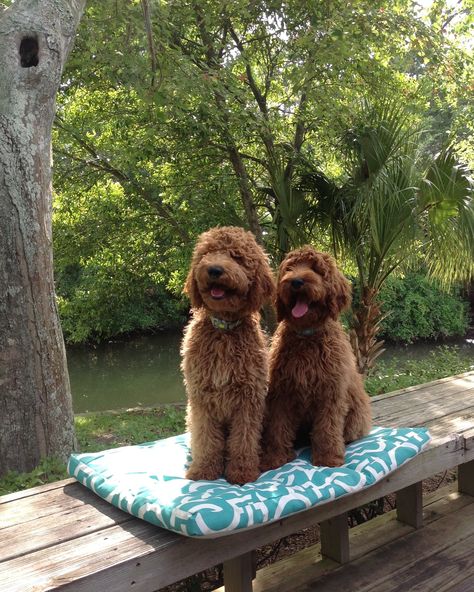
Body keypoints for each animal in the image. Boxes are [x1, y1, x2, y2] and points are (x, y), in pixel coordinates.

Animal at [183, 224, 276, 484]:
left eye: (237, 257)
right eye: (207, 253)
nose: (214, 269)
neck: (224, 330)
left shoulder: (248, 398)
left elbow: (243, 440)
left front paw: (242, 471)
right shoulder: (202, 397)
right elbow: (206, 439)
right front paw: (204, 470)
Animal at [262, 246, 372, 472]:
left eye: (316, 269)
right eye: (289, 268)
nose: (295, 282)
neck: (307, 336)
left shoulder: (330, 392)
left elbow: (327, 427)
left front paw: (328, 457)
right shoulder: (281, 393)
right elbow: (277, 427)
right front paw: (275, 457)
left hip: (356, 414)